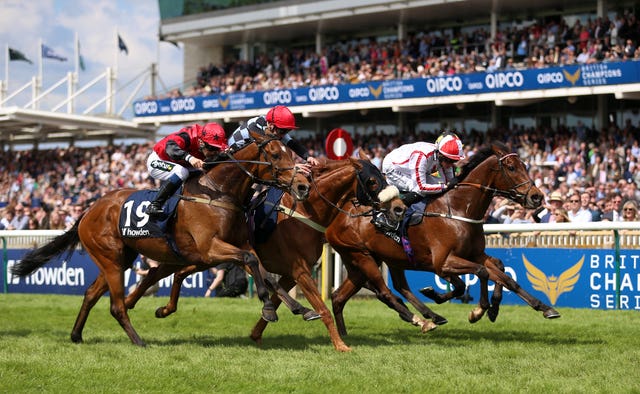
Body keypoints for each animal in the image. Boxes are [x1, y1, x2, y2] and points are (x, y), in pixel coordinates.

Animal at [9, 132, 310, 344]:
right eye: (274, 154)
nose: (302, 185)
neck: (219, 192)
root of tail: (89, 210)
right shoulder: (210, 249)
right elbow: (252, 262)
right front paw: (268, 305)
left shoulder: (236, 244)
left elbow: (265, 272)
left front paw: (298, 307)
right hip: (110, 258)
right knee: (116, 305)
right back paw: (138, 341)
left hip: (120, 258)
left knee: (91, 293)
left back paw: (76, 335)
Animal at [123, 154, 408, 350]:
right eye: (372, 181)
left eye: (385, 176)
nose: (399, 208)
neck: (303, 212)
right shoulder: (300, 270)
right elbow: (321, 308)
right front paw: (341, 345)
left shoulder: (291, 273)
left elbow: (278, 298)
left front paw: (258, 331)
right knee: (161, 272)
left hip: (203, 257)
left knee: (171, 273)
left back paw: (154, 308)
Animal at [324, 142, 560, 336]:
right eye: (511, 167)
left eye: (525, 165)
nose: (537, 196)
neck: (457, 209)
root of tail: (337, 217)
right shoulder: (443, 262)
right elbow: (480, 274)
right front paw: (478, 310)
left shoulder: (474, 254)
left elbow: (502, 273)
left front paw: (539, 307)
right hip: (362, 257)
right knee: (384, 291)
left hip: (381, 260)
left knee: (347, 295)